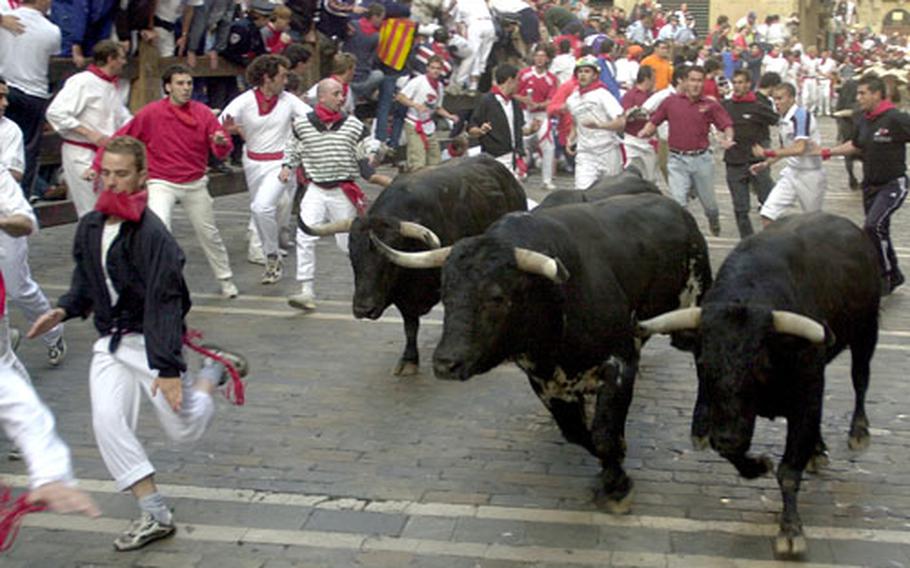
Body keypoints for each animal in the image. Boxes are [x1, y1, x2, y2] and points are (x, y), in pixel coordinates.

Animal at [300, 155, 528, 378]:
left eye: (387, 261)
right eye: (352, 258)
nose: (363, 309)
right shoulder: (404, 297)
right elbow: (410, 326)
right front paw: (409, 360)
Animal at [370, 194, 712, 510]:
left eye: (497, 297)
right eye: (445, 292)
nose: (445, 364)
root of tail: (675, 208)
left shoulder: (621, 361)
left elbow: (603, 434)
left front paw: (618, 487)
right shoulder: (546, 383)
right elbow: (579, 433)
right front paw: (614, 465)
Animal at [640, 212, 884, 556]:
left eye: (759, 363)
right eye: (702, 363)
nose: (726, 438)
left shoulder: (806, 398)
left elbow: (789, 470)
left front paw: (791, 530)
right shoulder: (728, 414)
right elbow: (740, 455)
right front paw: (757, 465)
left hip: (867, 332)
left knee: (860, 379)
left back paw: (858, 432)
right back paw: (817, 450)